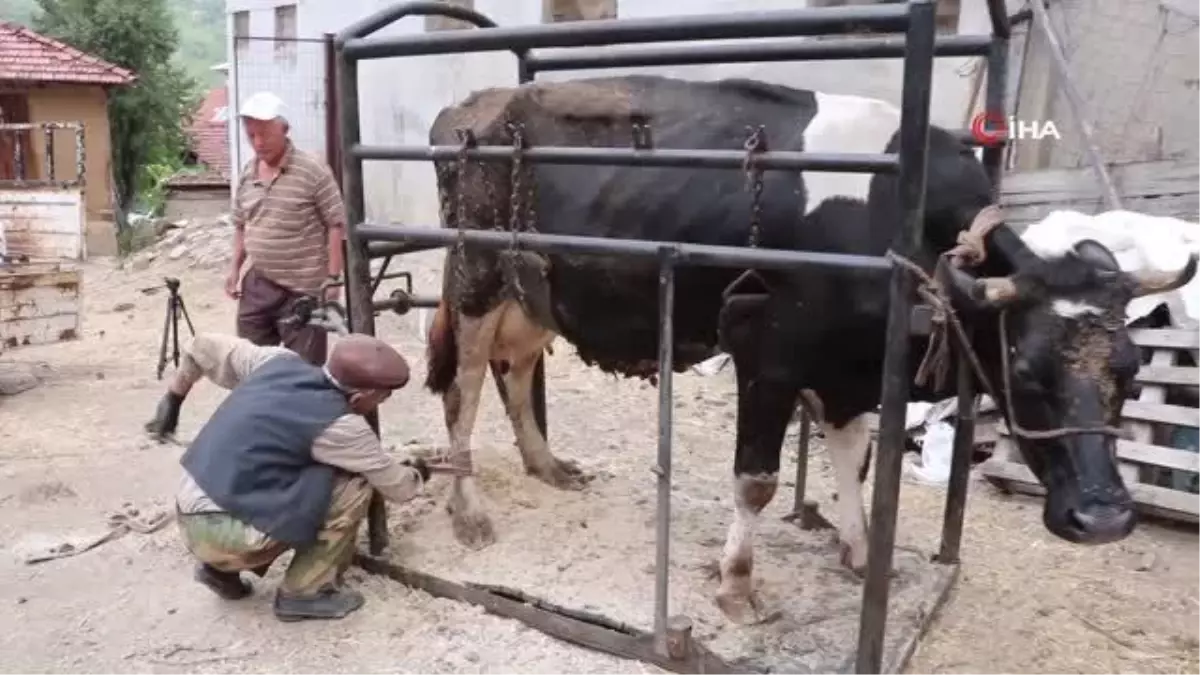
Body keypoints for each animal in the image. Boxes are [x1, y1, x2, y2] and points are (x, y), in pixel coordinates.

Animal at [417, 73, 1195, 619]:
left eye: (1129, 371)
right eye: (1026, 369)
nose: (1103, 518)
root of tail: (472, 105)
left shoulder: (850, 369)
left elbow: (853, 462)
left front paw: (859, 551)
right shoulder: (769, 355)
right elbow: (756, 481)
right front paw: (737, 588)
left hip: (537, 292)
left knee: (516, 371)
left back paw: (547, 465)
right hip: (477, 279)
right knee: (463, 389)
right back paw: (469, 512)